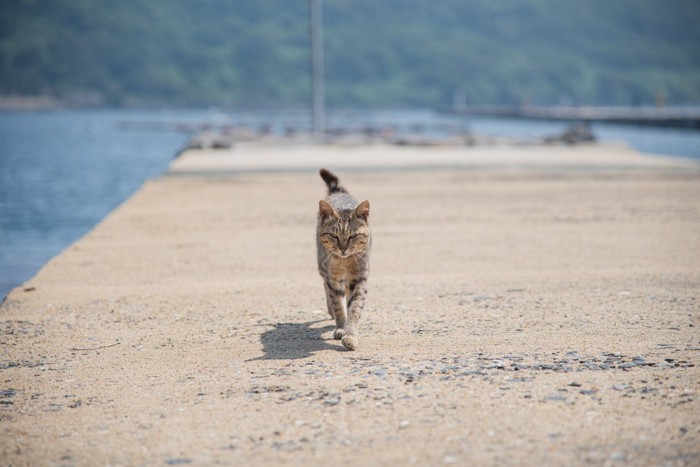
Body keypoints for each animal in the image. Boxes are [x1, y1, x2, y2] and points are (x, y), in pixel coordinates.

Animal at [318, 168, 372, 352]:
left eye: (353, 236)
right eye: (334, 236)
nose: (343, 249)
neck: (345, 262)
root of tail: (339, 193)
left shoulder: (360, 278)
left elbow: (354, 308)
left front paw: (350, 335)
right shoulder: (332, 278)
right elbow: (338, 305)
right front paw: (341, 327)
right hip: (322, 267)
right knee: (326, 289)